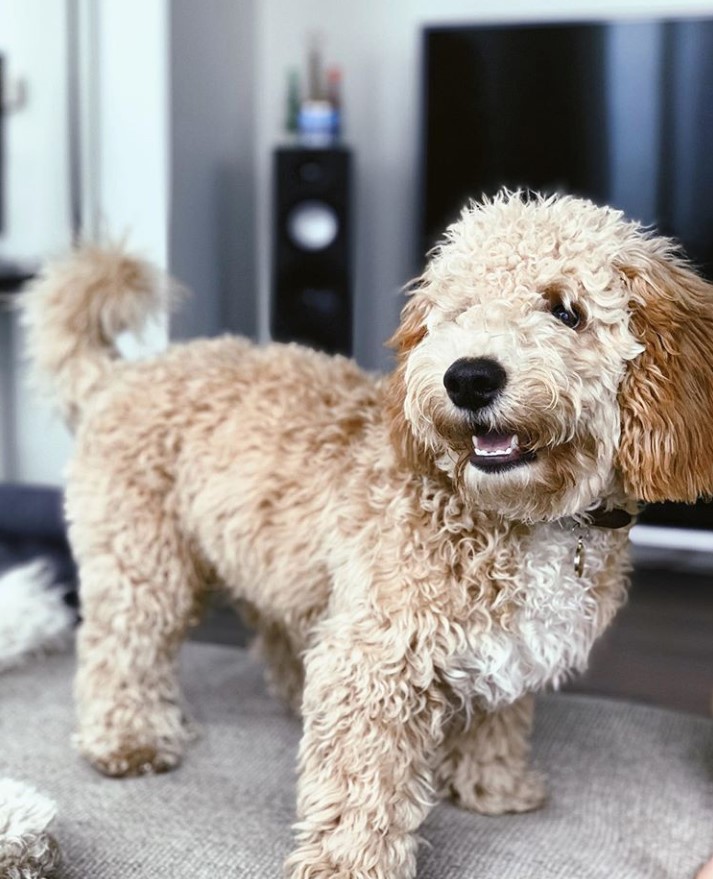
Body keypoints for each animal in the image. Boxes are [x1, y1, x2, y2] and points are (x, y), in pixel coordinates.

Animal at [19, 192, 712, 879]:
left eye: (566, 311)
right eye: (457, 311)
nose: (468, 377)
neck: (521, 518)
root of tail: (123, 377)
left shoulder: (510, 649)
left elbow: (497, 716)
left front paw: (493, 786)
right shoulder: (376, 660)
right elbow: (363, 783)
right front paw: (351, 864)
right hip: (141, 562)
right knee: (119, 648)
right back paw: (129, 739)